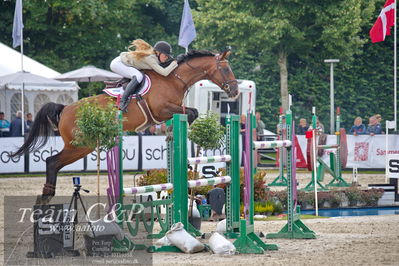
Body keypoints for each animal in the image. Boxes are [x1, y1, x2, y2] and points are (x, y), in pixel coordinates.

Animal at [11, 49, 238, 204]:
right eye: (226, 68)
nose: (235, 92)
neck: (173, 79)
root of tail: (65, 109)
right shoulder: (161, 109)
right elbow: (190, 113)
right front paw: (173, 133)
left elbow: (192, 112)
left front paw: (171, 133)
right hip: (80, 145)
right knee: (52, 162)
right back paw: (46, 195)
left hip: (82, 146)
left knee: (54, 163)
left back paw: (46, 195)